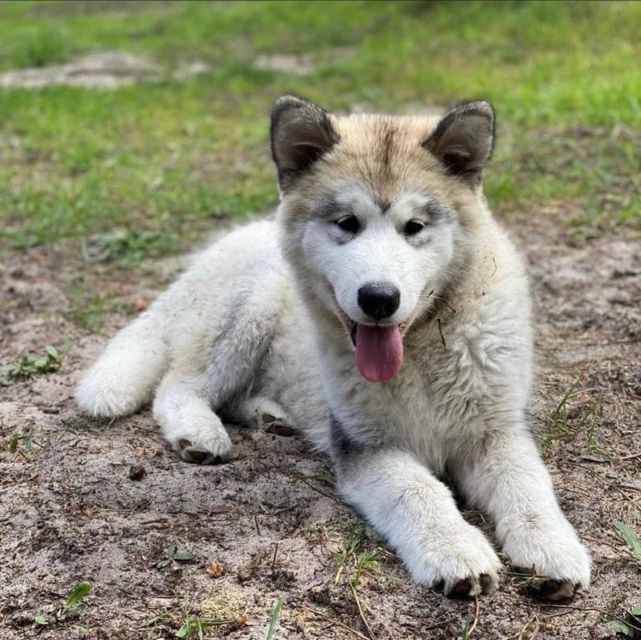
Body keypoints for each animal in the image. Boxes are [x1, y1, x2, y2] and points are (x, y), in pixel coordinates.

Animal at [75, 96, 592, 600]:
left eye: (414, 226)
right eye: (347, 223)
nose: (379, 298)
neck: (421, 349)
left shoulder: (497, 429)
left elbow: (528, 484)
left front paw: (553, 548)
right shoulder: (367, 445)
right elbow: (418, 491)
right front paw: (455, 550)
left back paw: (271, 416)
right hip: (251, 305)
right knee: (179, 386)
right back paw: (200, 433)